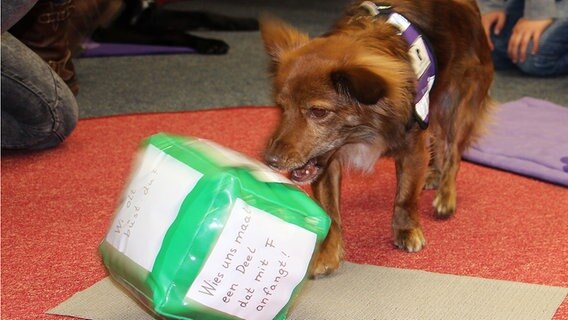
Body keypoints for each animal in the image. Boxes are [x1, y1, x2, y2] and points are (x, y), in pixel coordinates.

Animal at [260, 0, 492, 276]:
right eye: (281, 107)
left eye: (318, 112)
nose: (271, 160)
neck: (363, 131)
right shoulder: (325, 161)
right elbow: (330, 211)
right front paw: (328, 252)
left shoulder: (412, 146)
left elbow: (405, 197)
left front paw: (407, 230)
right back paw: (434, 173)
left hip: (457, 106)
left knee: (453, 152)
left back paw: (446, 195)